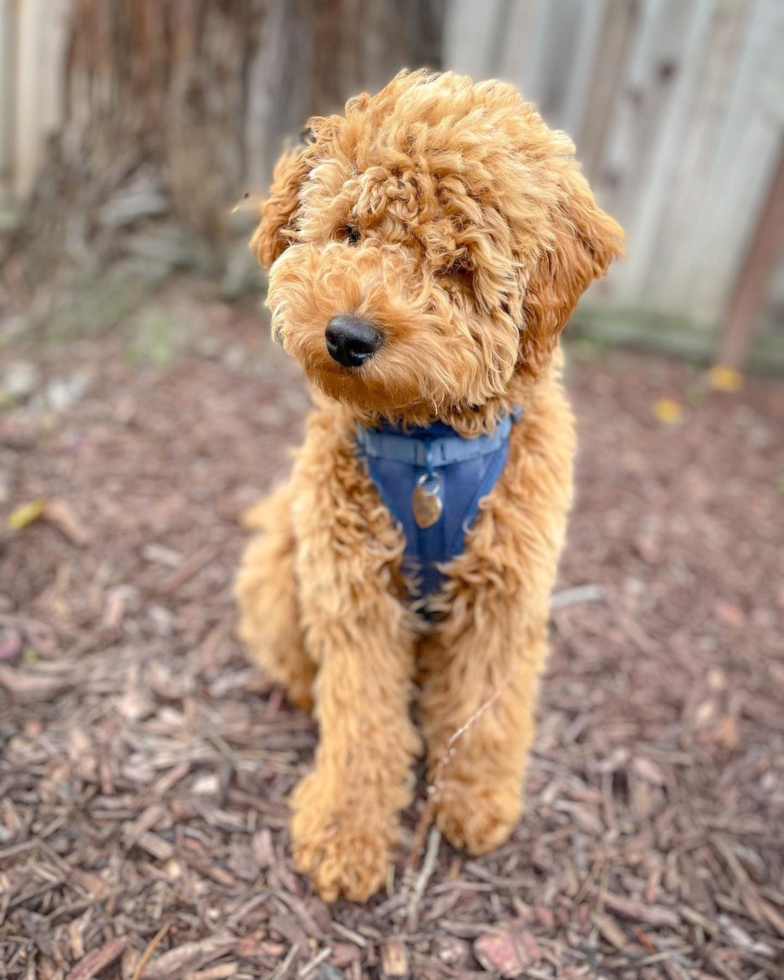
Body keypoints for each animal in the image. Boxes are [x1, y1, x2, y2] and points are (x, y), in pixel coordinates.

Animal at [236, 71, 620, 904]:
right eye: (350, 231)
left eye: (457, 266)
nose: (347, 336)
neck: (427, 450)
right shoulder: (352, 591)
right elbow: (362, 720)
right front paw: (345, 832)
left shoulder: (504, 594)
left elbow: (485, 708)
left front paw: (475, 801)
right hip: (282, 563)